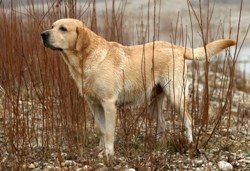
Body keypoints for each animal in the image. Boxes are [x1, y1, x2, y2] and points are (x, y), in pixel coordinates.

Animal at [40, 18, 234, 158]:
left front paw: (109, 154)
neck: (87, 60)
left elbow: (109, 132)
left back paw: (190, 144)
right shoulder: (94, 105)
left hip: (176, 96)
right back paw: (158, 144)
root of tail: (177, 47)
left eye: (63, 29)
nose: (43, 34)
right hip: (154, 102)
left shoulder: (109, 104)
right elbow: (101, 130)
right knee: (162, 123)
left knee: (188, 120)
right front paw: (101, 151)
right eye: (52, 26)